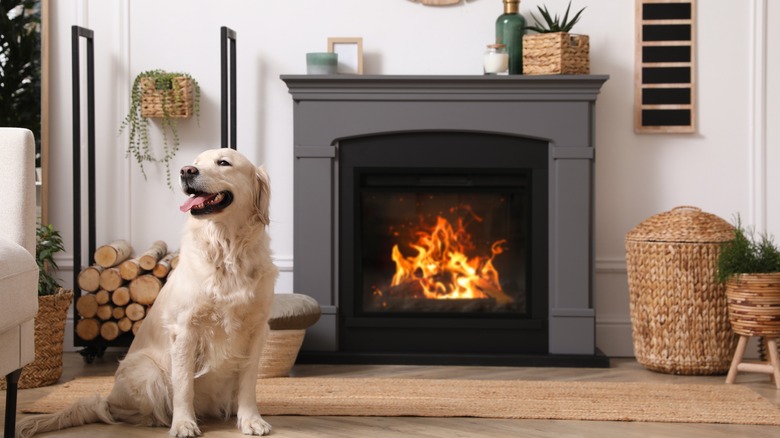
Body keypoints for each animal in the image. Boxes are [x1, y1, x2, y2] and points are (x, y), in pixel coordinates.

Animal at [17, 148, 280, 438]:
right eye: (196, 163)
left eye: (224, 163)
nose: (186, 171)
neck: (227, 250)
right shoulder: (185, 329)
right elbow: (184, 385)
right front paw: (183, 423)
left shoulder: (256, 328)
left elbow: (248, 381)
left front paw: (251, 419)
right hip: (146, 370)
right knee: (113, 411)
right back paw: (159, 418)